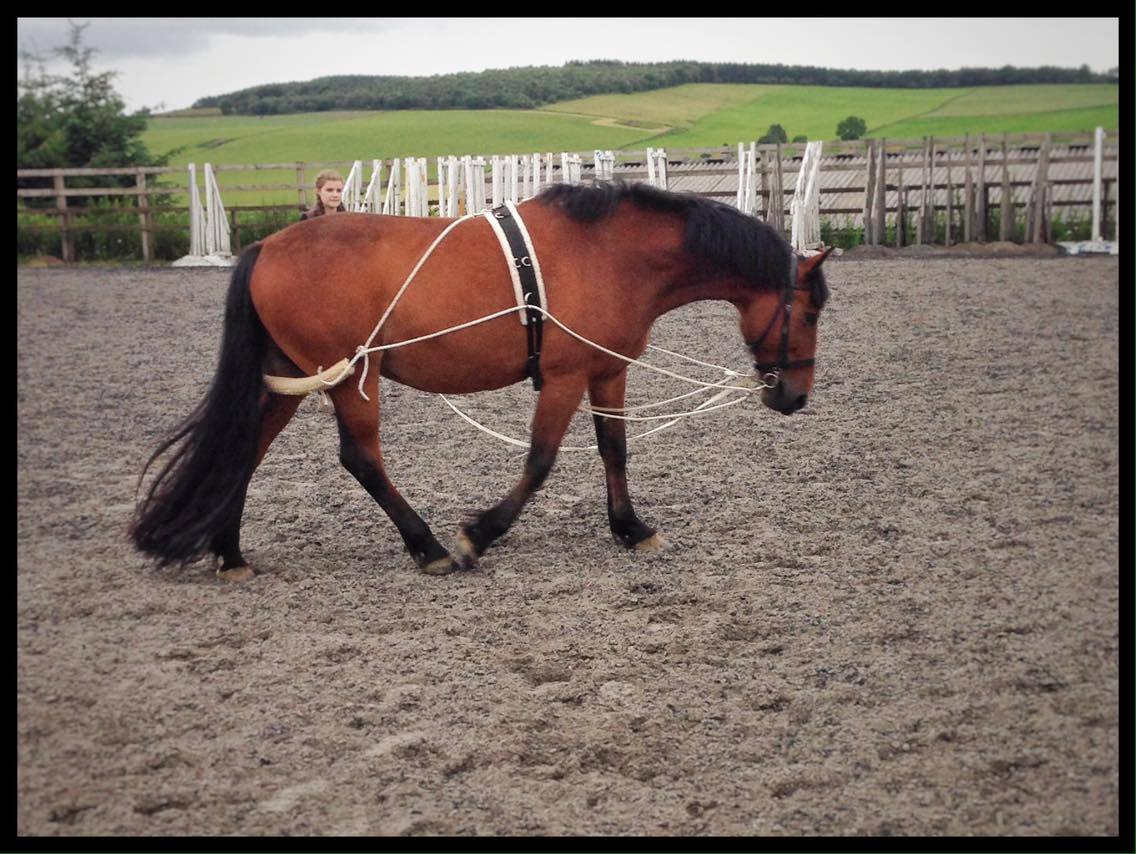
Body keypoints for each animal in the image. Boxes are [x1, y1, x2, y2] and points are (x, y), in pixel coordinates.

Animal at [130, 181, 831, 580]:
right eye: (811, 311)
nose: (795, 397)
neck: (613, 253)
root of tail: (267, 248)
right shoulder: (564, 376)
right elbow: (541, 461)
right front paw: (480, 534)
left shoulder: (608, 370)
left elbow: (615, 450)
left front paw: (631, 528)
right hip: (352, 376)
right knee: (360, 458)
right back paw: (429, 547)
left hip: (289, 375)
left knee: (244, 450)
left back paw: (230, 553)